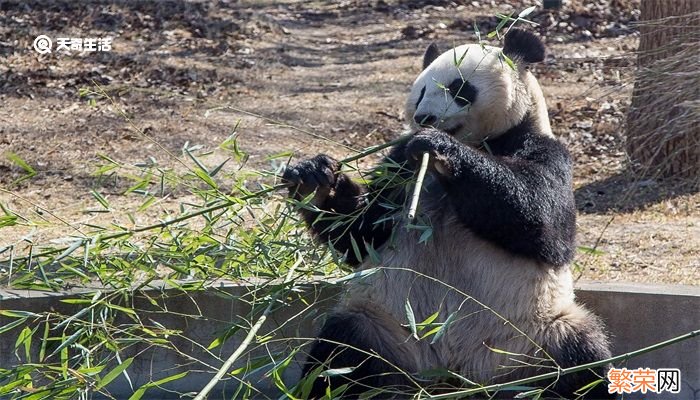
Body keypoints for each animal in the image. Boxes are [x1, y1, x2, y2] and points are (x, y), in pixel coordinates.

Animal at [284, 28, 612, 400]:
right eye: (421, 92)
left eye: (459, 88)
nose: (424, 119)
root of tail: (451, 378)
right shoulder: (400, 166)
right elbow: (362, 231)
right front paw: (313, 179)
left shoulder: (542, 149)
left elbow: (545, 223)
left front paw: (441, 147)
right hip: (382, 327)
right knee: (339, 357)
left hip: (534, 336)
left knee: (581, 361)